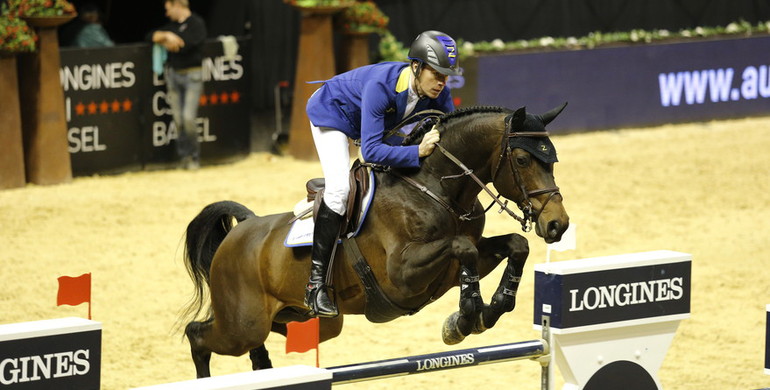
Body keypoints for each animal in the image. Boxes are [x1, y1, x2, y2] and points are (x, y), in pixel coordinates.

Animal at [178, 103, 564, 378]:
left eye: (553, 160)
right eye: (522, 159)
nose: (558, 224)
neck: (436, 187)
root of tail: (242, 229)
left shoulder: (456, 266)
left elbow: (515, 245)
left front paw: (488, 309)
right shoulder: (402, 275)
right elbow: (462, 247)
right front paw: (465, 318)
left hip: (300, 321)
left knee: (257, 347)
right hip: (241, 325)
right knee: (198, 336)